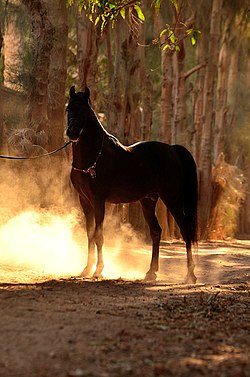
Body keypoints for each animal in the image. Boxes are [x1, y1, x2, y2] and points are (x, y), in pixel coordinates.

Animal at [66, 87, 197, 282]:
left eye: (83, 111)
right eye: (68, 109)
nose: (72, 133)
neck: (93, 159)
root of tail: (173, 149)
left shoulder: (98, 201)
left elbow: (98, 235)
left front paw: (98, 270)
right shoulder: (85, 201)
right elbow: (89, 234)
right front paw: (87, 268)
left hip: (172, 199)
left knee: (186, 230)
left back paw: (190, 275)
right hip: (148, 201)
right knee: (156, 232)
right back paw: (151, 272)